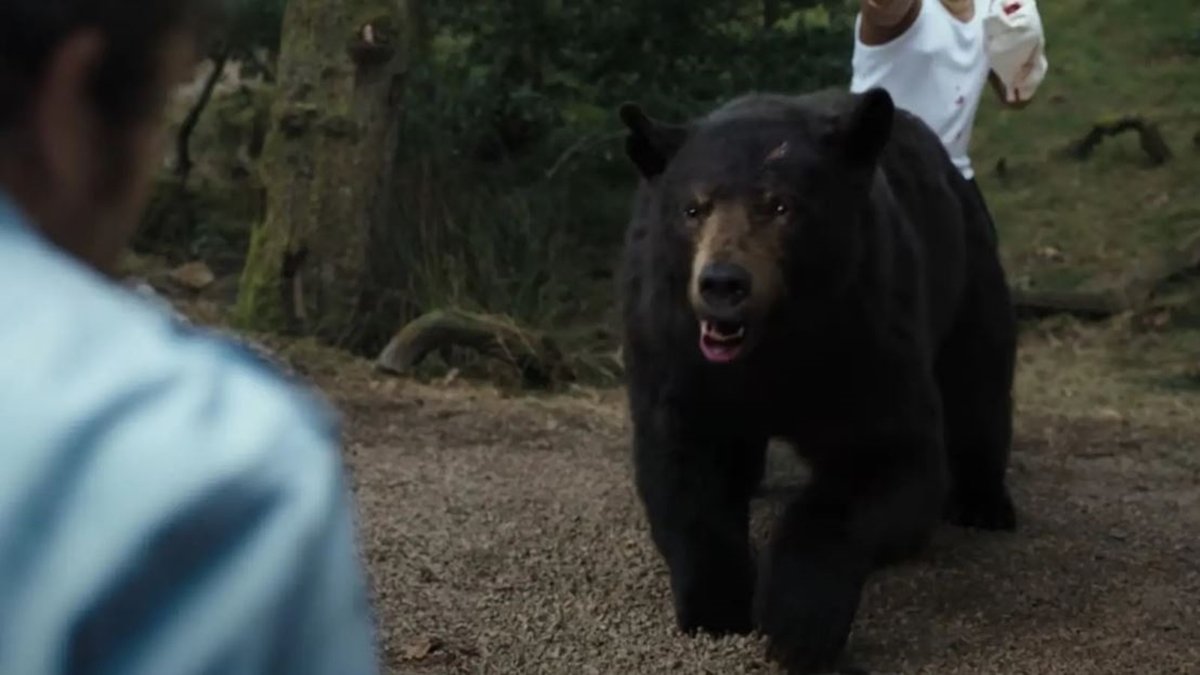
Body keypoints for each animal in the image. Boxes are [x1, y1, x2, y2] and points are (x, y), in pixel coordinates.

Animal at [619, 86, 1022, 667]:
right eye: (693, 208)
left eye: (780, 206)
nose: (722, 283)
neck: (776, 342)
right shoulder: (675, 346)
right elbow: (684, 463)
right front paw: (717, 607)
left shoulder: (867, 329)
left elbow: (890, 462)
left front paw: (797, 625)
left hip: (967, 264)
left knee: (978, 379)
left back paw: (984, 503)